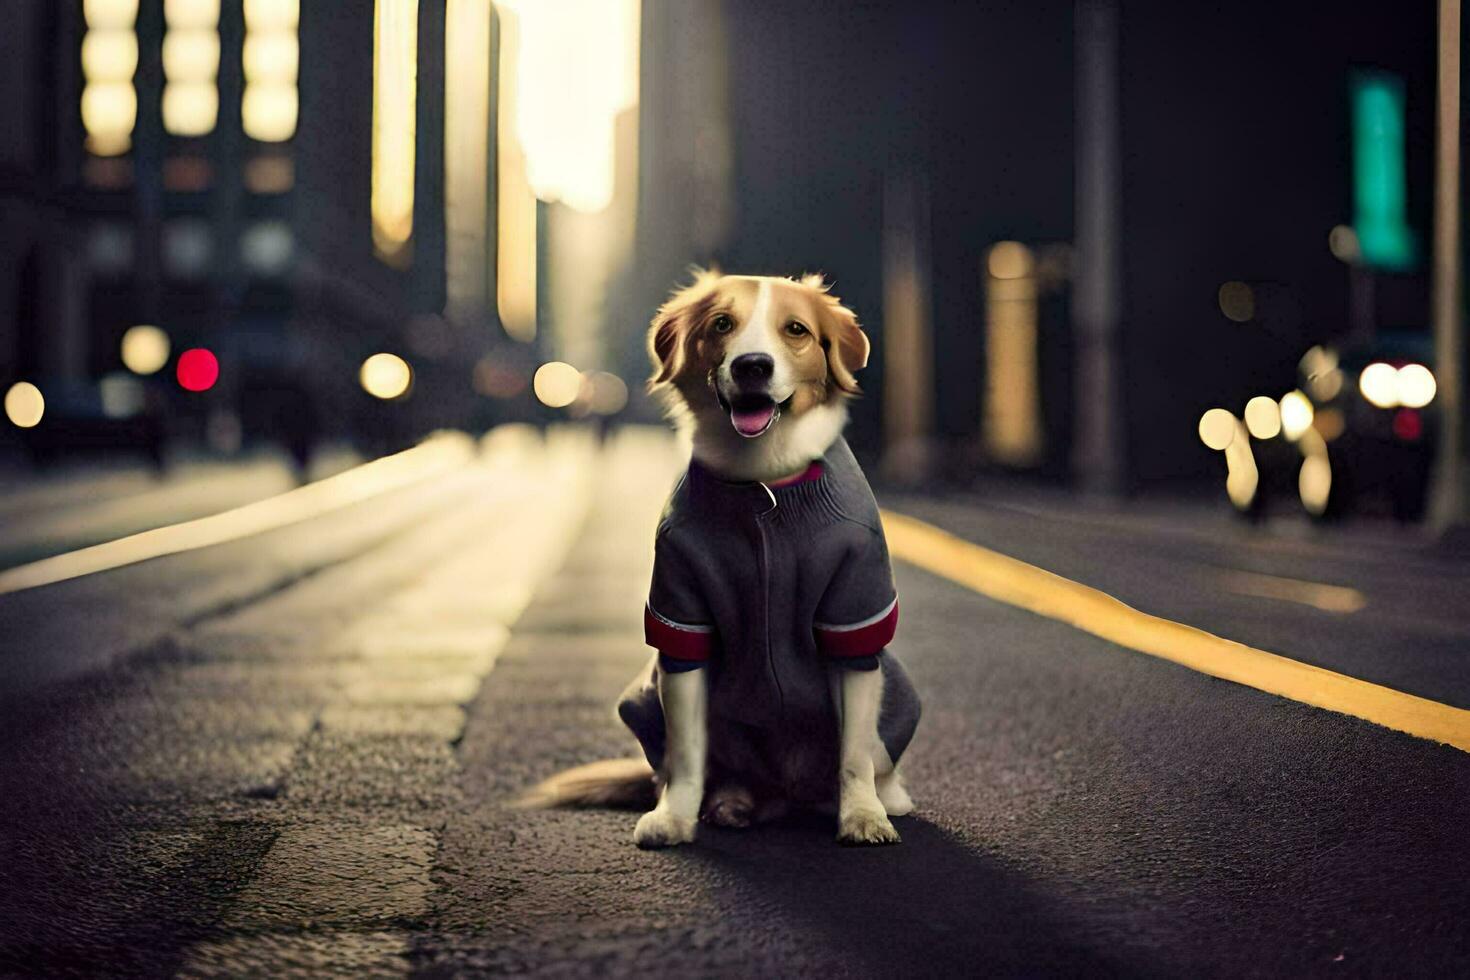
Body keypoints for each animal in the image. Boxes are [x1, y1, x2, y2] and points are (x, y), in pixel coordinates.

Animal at [520, 271, 917, 846]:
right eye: (722, 324)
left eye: (796, 330)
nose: (753, 365)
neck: (763, 486)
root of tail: (786, 791)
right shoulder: (682, 622)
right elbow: (688, 752)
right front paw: (674, 818)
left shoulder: (855, 617)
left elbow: (854, 753)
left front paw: (863, 816)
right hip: (643, 698)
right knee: (695, 768)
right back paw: (730, 803)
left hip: (900, 693)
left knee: (869, 762)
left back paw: (885, 800)